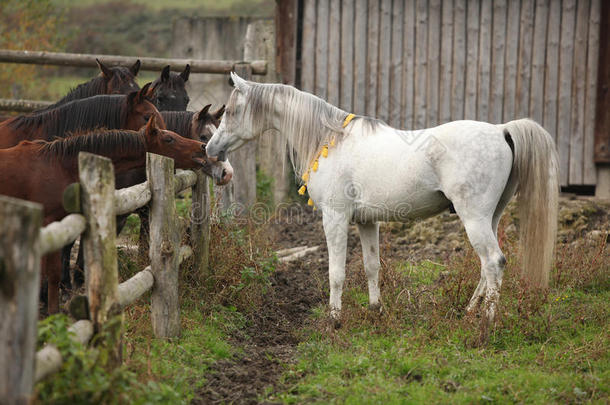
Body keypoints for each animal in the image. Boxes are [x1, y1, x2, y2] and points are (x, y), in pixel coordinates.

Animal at [0, 115, 229, 314]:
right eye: (168, 139)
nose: (201, 148)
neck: (57, 165)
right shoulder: (48, 223)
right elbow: (49, 272)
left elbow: (50, 272)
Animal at [207, 72, 560, 326]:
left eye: (232, 111)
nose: (211, 149)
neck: (330, 140)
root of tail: (502, 130)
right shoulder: (367, 222)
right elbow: (371, 266)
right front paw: (375, 309)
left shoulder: (335, 218)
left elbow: (336, 272)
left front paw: (334, 319)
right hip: (491, 218)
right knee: (486, 267)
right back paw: (470, 312)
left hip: (474, 219)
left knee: (493, 262)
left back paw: (486, 322)